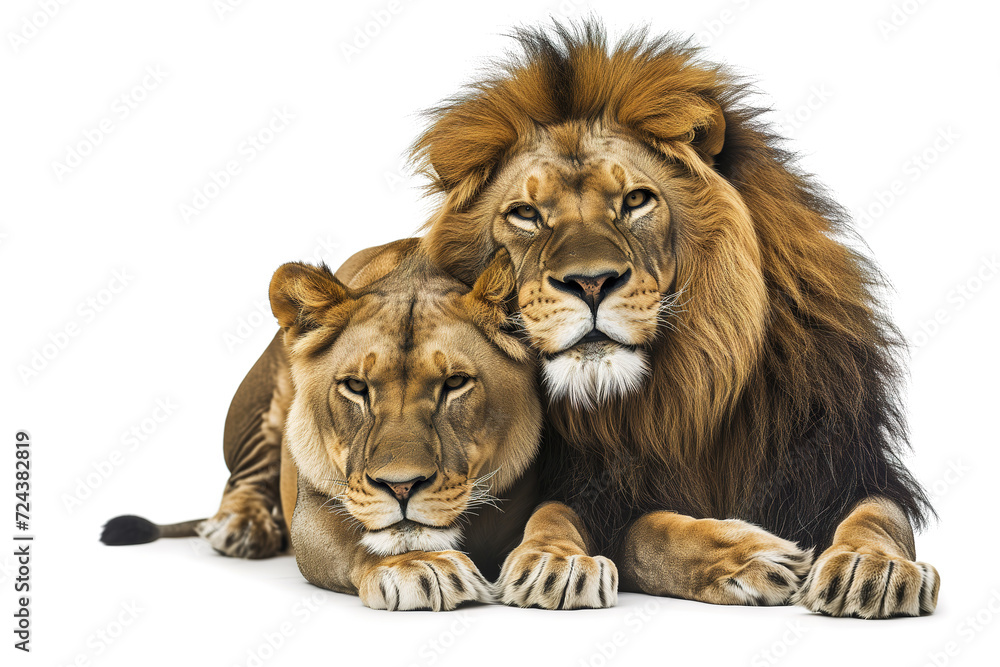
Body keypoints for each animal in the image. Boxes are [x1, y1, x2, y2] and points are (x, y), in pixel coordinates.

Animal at [102, 241, 618, 610]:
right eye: (355, 386)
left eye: (454, 383)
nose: (401, 486)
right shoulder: (312, 514)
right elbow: (364, 539)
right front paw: (422, 565)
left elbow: (557, 514)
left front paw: (560, 564)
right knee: (242, 480)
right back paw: (239, 528)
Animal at [407, 22, 939, 618]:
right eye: (526, 214)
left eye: (636, 200)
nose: (590, 283)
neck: (675, 398)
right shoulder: (584, 491)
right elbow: (632, 529)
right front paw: (556, 562)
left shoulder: (840, 465)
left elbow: (878, 517)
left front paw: (873, 568)